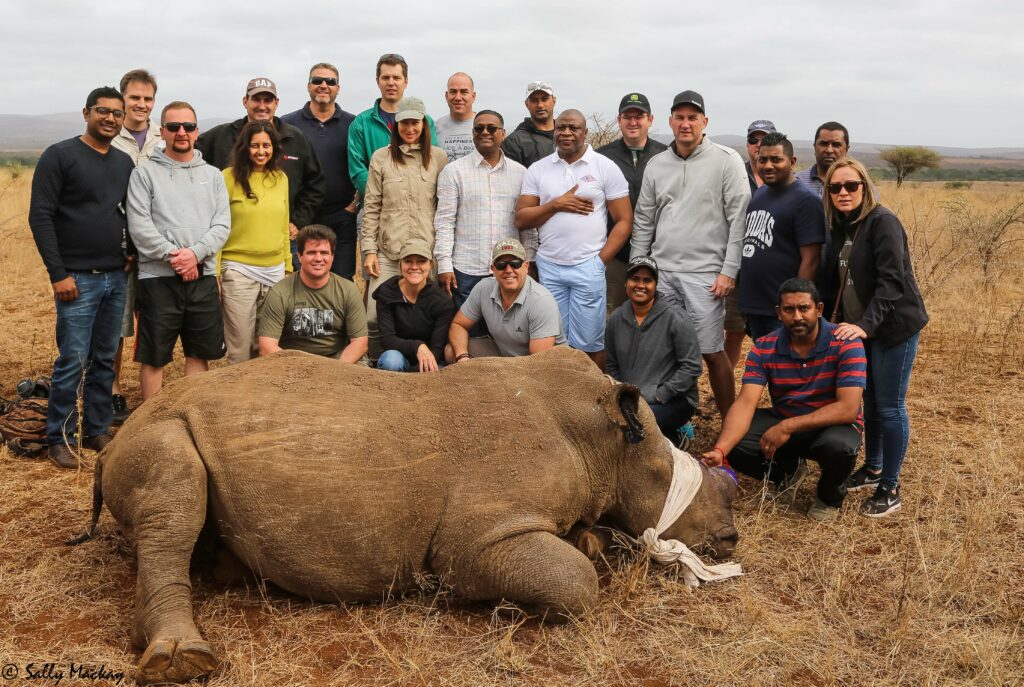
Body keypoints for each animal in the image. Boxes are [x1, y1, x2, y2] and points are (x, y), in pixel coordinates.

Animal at [76, 347, 739, 683]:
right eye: (662, 476)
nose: (730, 538)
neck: (600, 438)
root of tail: (113, 438)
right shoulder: (479, 539)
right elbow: (574, 582)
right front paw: (501, 606)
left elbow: (585, 548)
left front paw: (591, 543)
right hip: (163, 428)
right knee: (172, 502)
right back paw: (180, 662)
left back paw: (225, 573)